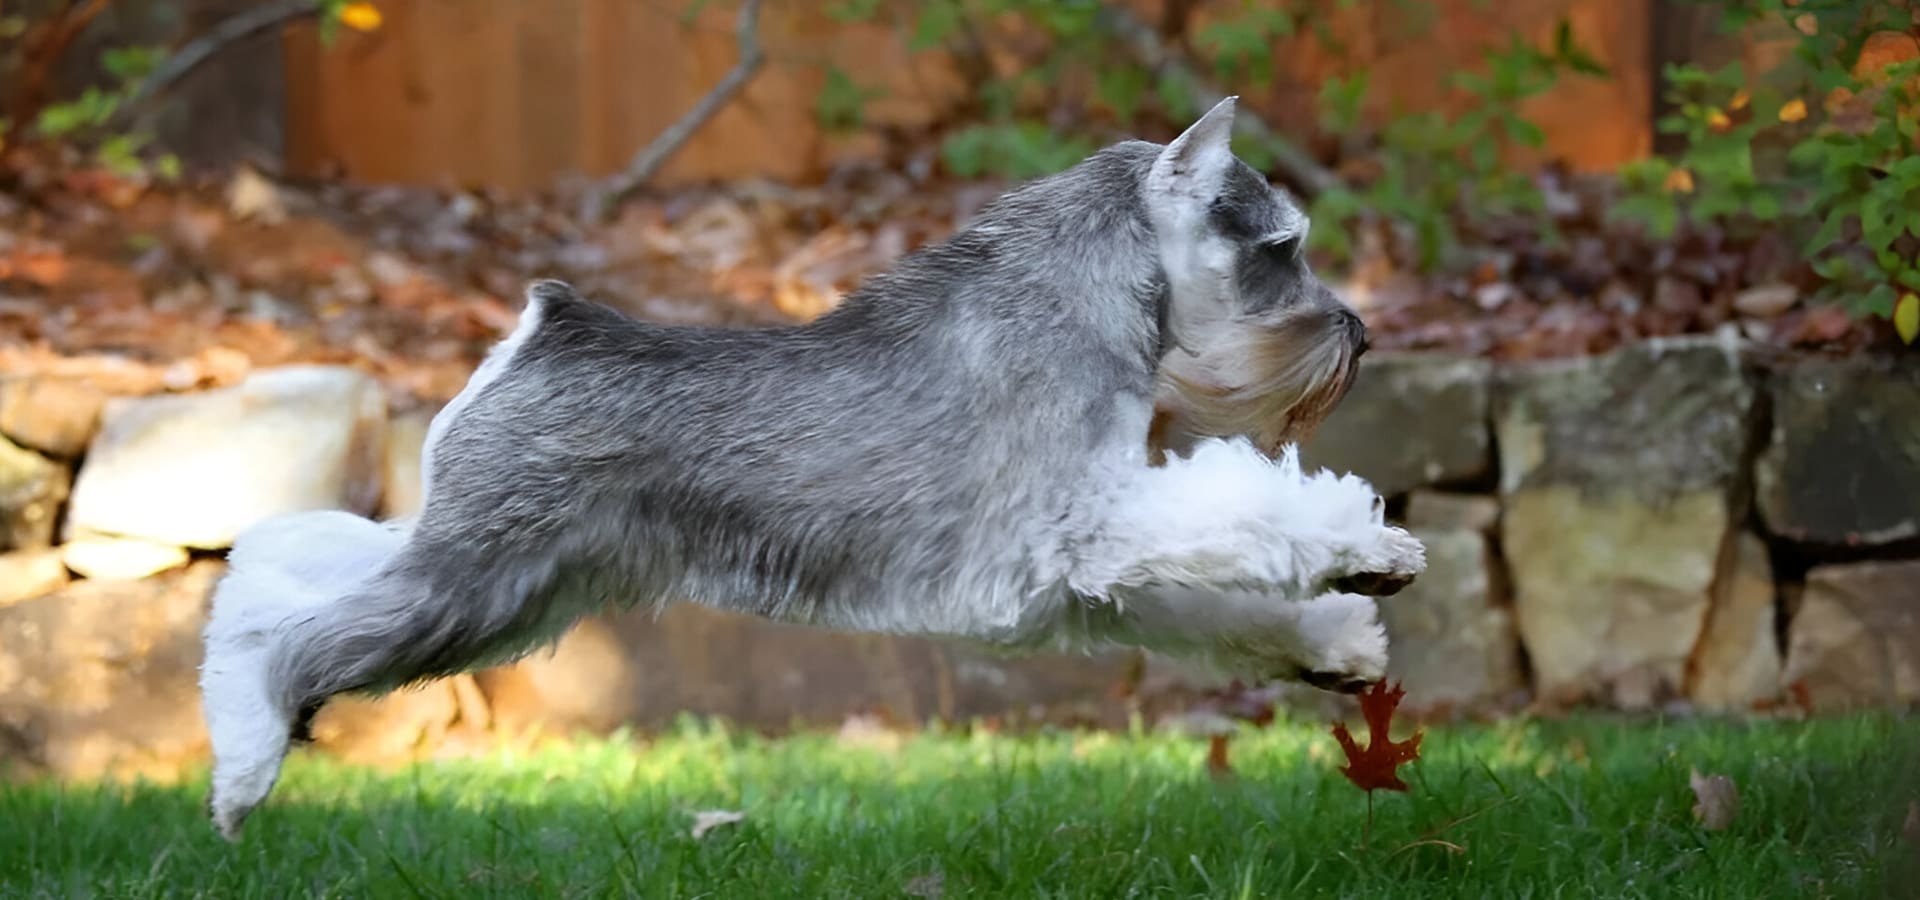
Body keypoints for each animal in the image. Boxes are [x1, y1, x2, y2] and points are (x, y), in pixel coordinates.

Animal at [194, 101, 1428, 836]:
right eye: (1282, 249)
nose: (1362, 336)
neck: (1092, 296)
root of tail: (541, 331)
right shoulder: (1084, 527)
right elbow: (1258, 513)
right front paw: (1371, 544)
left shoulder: (1085, 576)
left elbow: (1225, 604)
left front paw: (1339, 641)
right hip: (467, 586)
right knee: (292, 642)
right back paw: (246, 772)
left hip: (501, 585)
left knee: (277, 580)